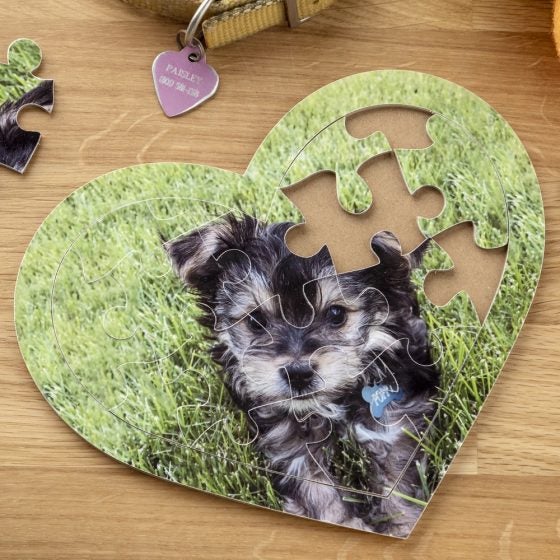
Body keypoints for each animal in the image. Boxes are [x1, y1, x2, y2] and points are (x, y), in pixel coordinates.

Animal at [165, 213, 439, 536]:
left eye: (336, 314)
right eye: (256, 320)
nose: (297, 373)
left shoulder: (393, 422)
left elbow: (398, 480)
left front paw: (402, 525)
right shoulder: (288, 445)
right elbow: (316, 491)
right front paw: (343, 523)